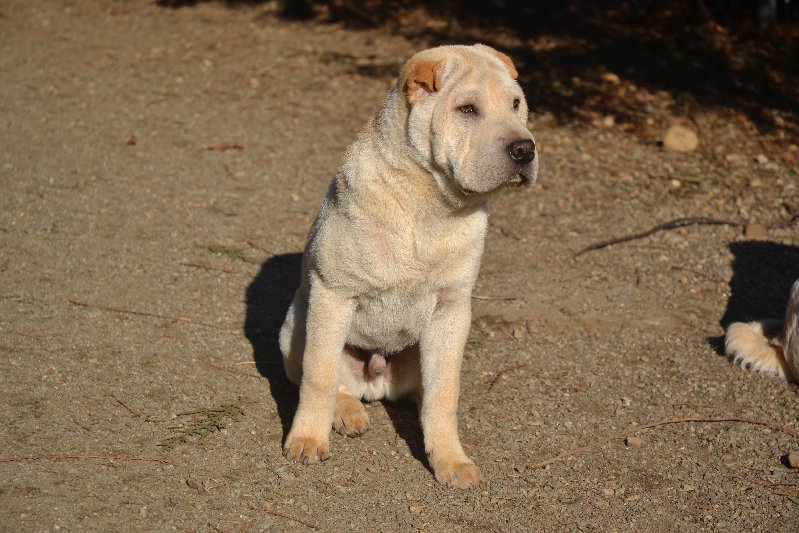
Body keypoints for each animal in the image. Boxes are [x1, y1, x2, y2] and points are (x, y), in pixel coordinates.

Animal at [276, 44, 536, 486]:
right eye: (467, 109)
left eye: (517, 104)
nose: (525, 149)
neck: (429, 201)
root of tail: (376, 385)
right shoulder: (333, 294)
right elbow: (319, 376)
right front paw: (308, 440)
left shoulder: (451, 310)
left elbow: (444, 395)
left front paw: (451, 461)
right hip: (296, 323)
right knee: (331, 379)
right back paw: (347, 414)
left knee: (423, 394)